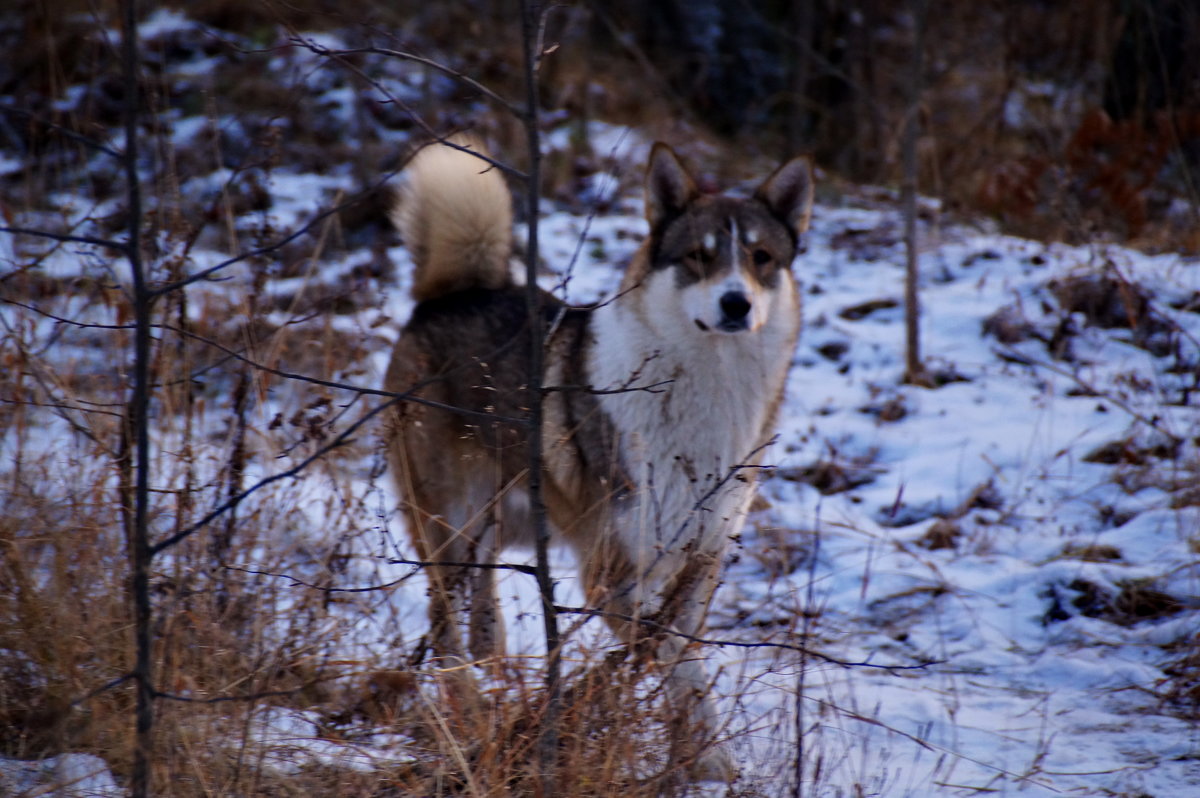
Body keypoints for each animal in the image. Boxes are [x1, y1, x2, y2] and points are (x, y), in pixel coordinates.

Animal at [386, 136, 816, 777]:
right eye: (698, 257)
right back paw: (471, 713)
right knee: (442, 627)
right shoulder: (608, 576)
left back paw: (492, 674)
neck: (709, 391)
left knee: (481, 600)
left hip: (498, 525)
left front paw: (703, 765)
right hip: (449, 527)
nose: (736, 303)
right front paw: (704, 761)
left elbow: (683, 657)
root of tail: (450, 294)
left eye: (761, 257)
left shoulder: (703, 561)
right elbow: (672, 655)